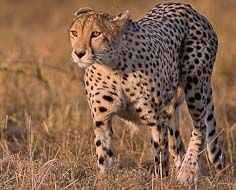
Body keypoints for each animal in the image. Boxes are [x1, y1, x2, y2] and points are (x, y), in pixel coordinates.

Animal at [69, 2, 225, 184]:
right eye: (74, 33)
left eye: (96, 34)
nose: (78, 53)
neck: (112, 67)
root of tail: (187, 7)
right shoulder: (102, 119)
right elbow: (104, 153)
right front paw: (105, 180)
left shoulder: (156, 119)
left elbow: (160, 155)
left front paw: (160, 181)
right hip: (171, 109)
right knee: (176, 144)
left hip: (195, 85)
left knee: (200, 127)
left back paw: (188, 171)